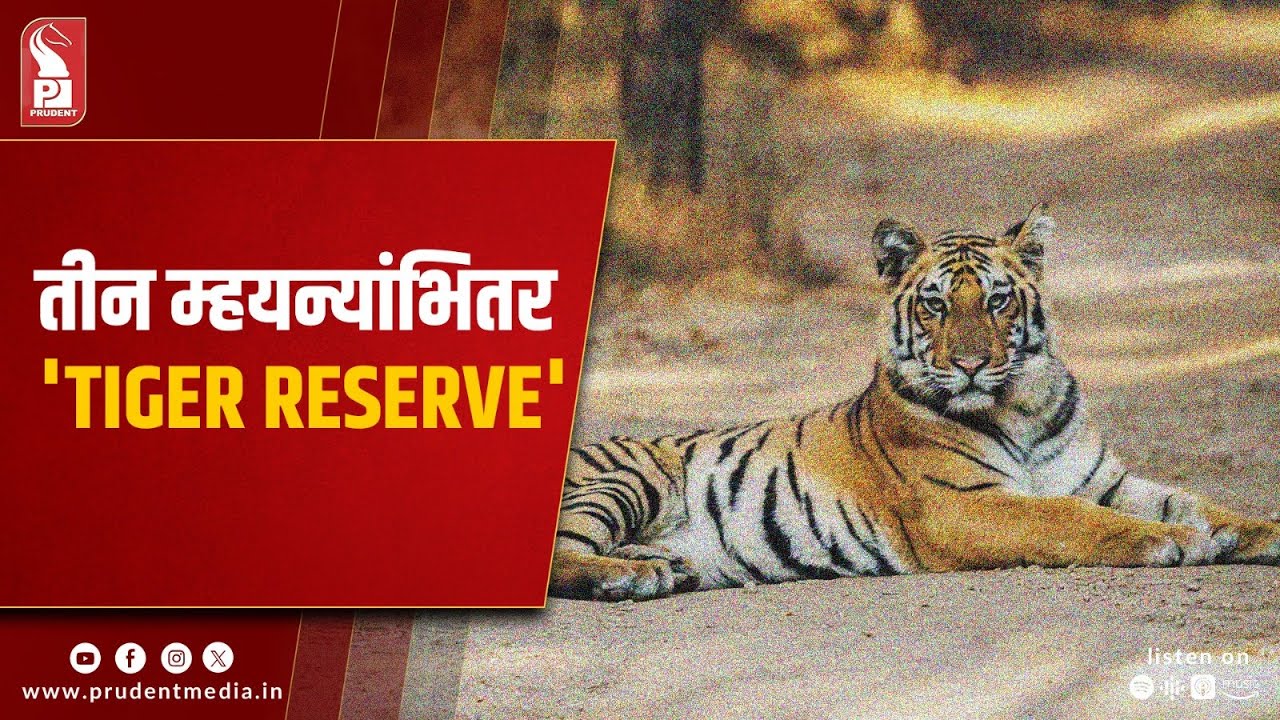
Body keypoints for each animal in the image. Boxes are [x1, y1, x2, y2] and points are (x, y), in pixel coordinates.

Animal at [550, 205, 1280, 601]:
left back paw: (661, 565)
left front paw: (1250, 530)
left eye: (997, 300)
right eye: (935, 304)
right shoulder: (960, 504)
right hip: (630, 474)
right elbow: (1070, 518)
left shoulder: (1107, 480)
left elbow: (1197, 501)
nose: (971, 364)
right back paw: (629, 579)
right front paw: (1171, 542)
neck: (1022, 406)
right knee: (560, 553)